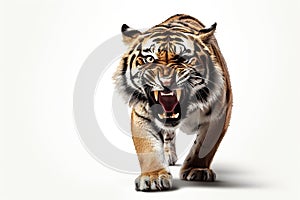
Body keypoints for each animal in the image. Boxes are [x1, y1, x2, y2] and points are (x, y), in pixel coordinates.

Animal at [113, 13, 233, 191]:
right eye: (150, 58)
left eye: (183, 58)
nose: (166, 81)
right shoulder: (142, 115)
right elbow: (148, 147)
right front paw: (153, 177)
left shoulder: (219, 114)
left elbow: (204, 145)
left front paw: (197, 170)